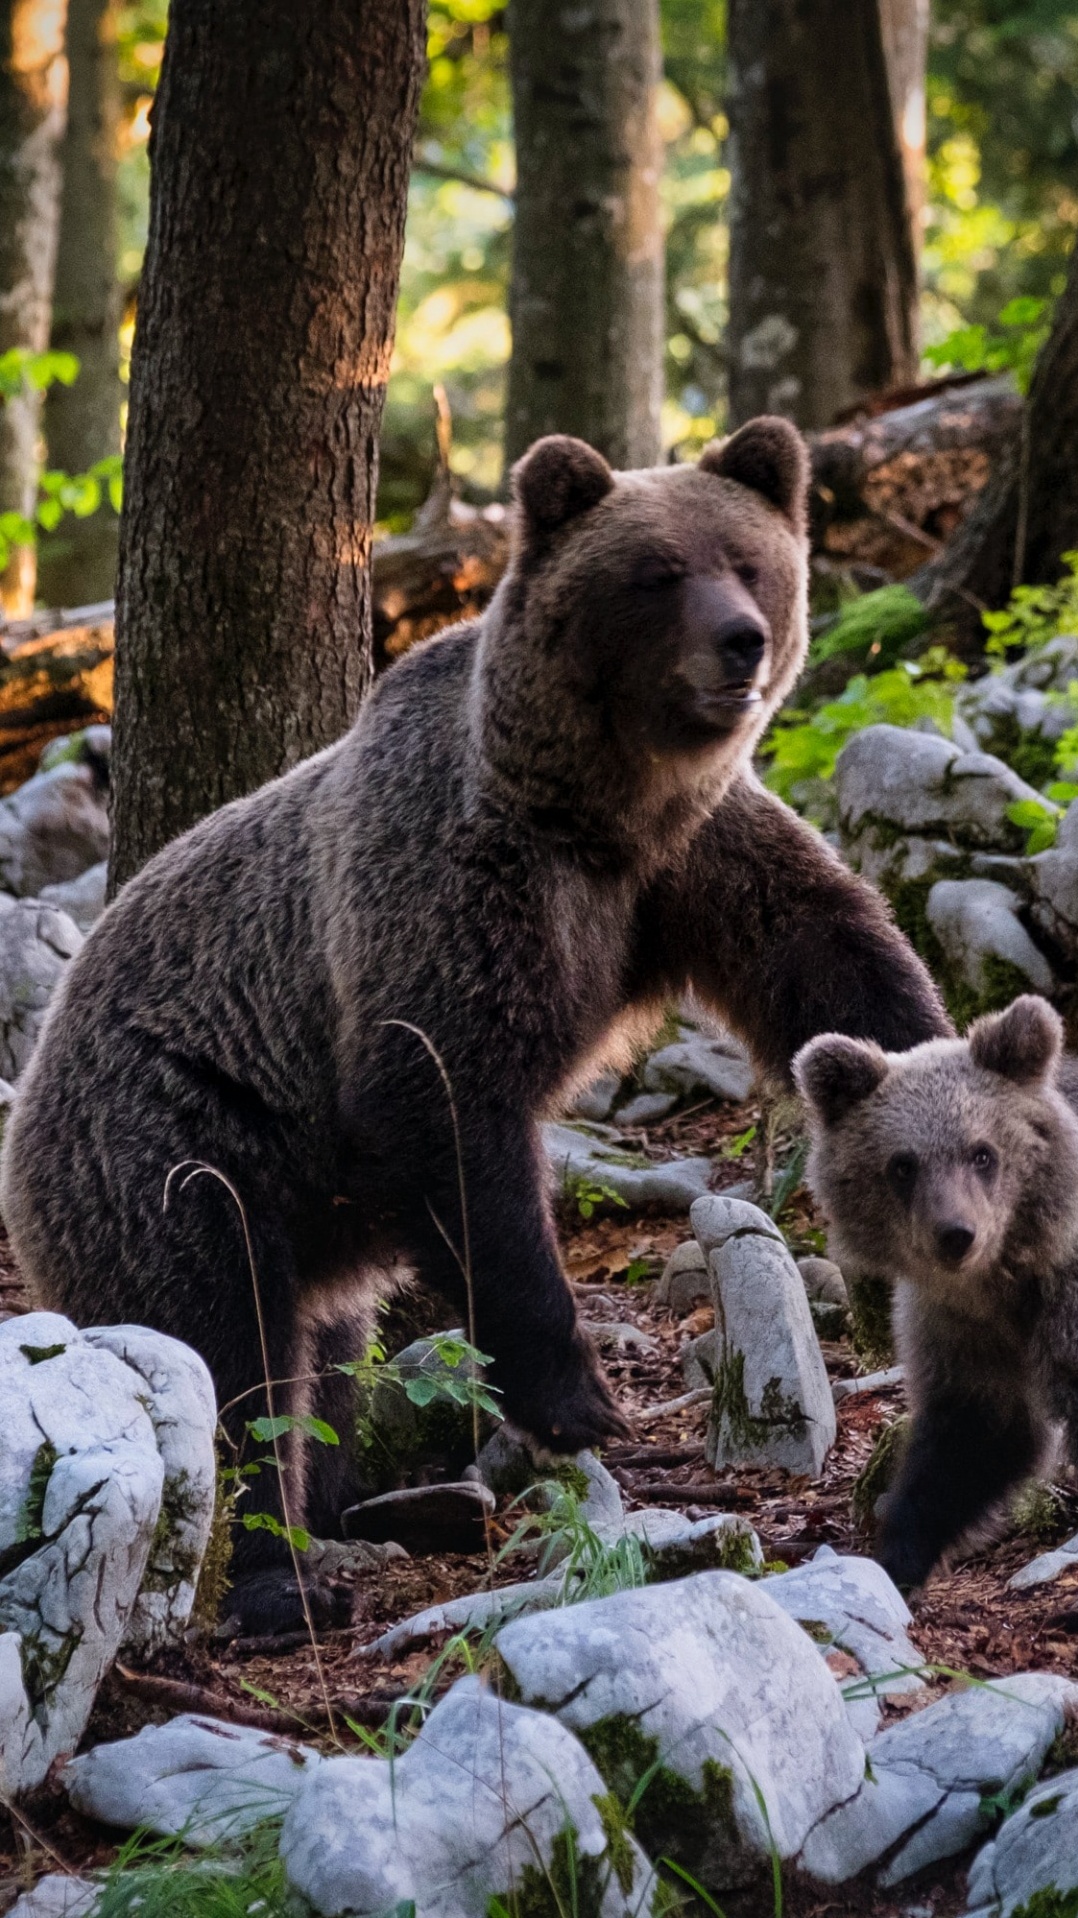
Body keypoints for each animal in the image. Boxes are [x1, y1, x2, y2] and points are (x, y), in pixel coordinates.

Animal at [0, 416, 943, 1618]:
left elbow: (829, 956)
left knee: (322, 1357)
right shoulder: (451, 891)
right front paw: (575, 1396)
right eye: (656, 573)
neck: (596, 812)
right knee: (225, 1353)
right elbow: (448, 1113)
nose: (742, 640)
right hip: (177, 1149)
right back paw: (278, 1578)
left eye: (748, 559)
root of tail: (36, 1082)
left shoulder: (690, 860)